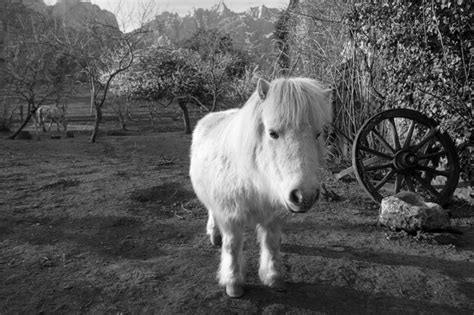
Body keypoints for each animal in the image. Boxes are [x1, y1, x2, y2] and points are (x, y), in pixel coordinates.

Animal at [190, 78, 334, 298]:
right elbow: (232, 246)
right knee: (212, 213)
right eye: (272, 133)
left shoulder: (272, 216)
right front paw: (233, 283)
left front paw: (274, 277)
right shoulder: (230, 216)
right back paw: (214, 235)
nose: (305, 196)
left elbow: (271, 243)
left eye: (318, 133)